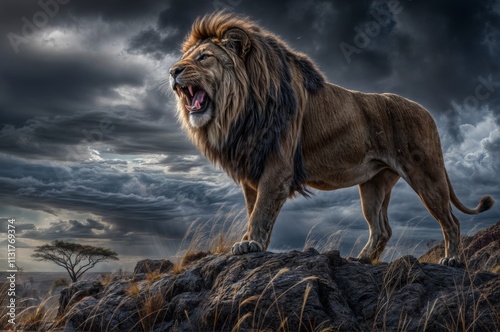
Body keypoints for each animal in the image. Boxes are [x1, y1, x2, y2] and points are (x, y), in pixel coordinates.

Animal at [170, 11, 494, 268]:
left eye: (203, 57)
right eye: (185, 58)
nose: (173, 70)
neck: (239, 109)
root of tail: (427, 113)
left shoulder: (277, 166)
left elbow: (261, 211)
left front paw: (250, 245)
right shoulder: (252, 167)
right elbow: (254, 211)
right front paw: (250, 241)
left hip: (425, 173)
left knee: (451, 221)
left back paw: (452, 260)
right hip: (374, 184)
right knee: (382, 229)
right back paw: (361, 259)